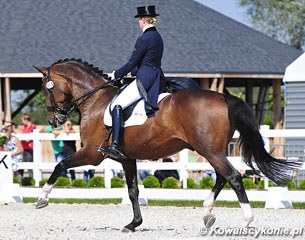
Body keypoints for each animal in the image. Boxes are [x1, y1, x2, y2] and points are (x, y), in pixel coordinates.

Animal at [33, 58, 296, 232]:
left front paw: (42, 199)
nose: (54, 120)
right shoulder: (126, 158)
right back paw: (207, 213)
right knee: (223, 177)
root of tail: (224, 97)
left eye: (46, 88)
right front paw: (134, 224)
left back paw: (246, 220)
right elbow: (133, 191)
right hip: (211, 150)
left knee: (233, 176)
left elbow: (60, 166)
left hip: (209, 151)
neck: (95, 99)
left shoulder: (91, 154)